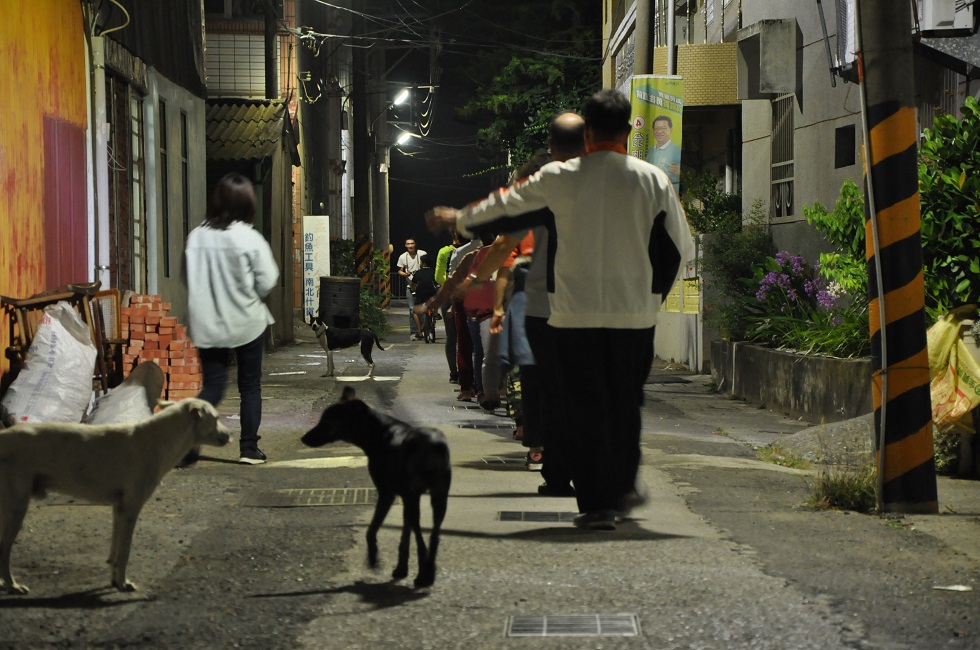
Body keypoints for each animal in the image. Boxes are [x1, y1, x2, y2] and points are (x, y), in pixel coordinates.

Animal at [300, 384, 450, 588]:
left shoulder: (388, 494)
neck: (379, 433)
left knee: (422, 540)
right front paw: (401, 569)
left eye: (326, 421)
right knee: (434, 536)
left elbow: (371, 530)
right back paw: (429, 572)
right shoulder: (407, 497)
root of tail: (431, 445)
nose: (303, 438)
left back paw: (423, 576)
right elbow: (405, 536)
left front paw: (373, 558)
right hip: (439, 498)